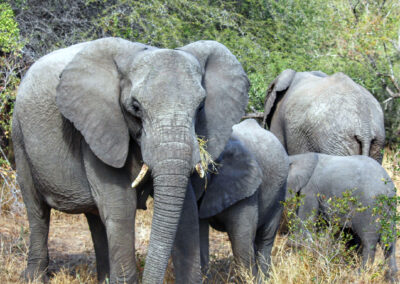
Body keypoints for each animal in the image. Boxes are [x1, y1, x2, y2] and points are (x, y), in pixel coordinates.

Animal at [12, 37, 248, 284]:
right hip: (19, 136)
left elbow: (187, 211)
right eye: (135, 107)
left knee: (95, 217)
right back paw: (33, 278)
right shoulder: (100, 128)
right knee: (37, 210)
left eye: (201, 106)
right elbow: (121, 205)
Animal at [288, 152, 396, 280]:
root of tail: (388, 188)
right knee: (389, 243)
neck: (298, 157)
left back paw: (359, 275)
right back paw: (391, 278)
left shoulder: (310, 189)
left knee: (369, 241)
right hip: (390, 209)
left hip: (369, 207)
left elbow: (306, 219)